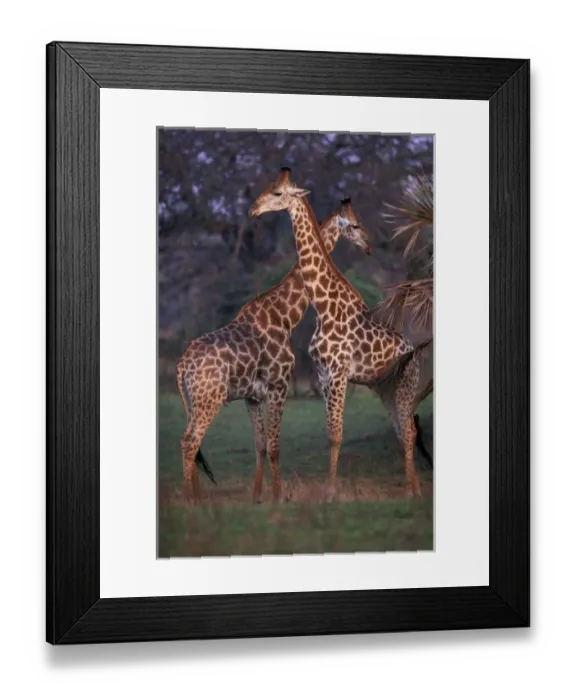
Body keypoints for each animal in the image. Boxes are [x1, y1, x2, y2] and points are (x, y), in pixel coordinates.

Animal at [176, 198, 371, 504]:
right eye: (354, 224)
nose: (368, 245)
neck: (285, 316)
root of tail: (181, 367)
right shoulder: (279, 385)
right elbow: (275, 445)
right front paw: (279, 497)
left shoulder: (252, 396)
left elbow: (260, 445)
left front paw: (257, 497)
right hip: (210, 398)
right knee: (189, 442)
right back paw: (189, 500)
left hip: (192, 401)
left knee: (193, 443)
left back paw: (197, 497)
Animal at [249, 168, 430, 501]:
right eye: (268, 188)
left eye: (278, 194)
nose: (254, 209)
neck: (323, 307)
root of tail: (413, 348)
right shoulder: (323, 376)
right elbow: (329, 434)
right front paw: (328, 489)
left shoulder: (338, 373)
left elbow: (337, 434)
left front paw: (331, 493)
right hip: (386, 390)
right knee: (404, 431)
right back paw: (412, 489)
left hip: (405, 387)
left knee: (409, 430)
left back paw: (414, 492)